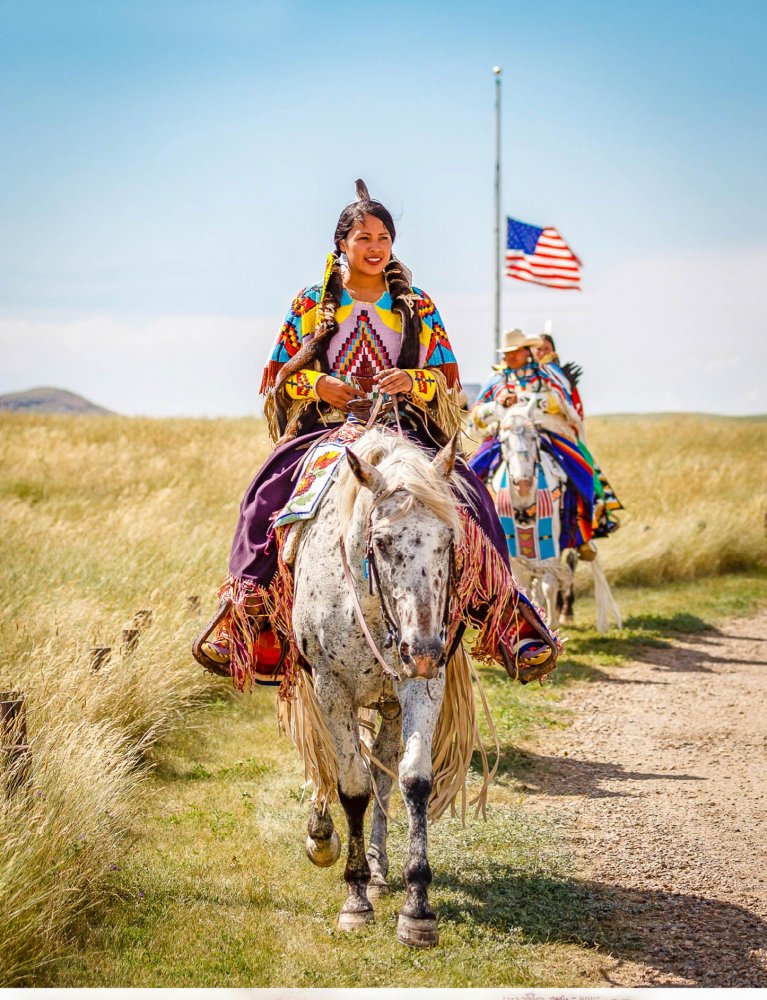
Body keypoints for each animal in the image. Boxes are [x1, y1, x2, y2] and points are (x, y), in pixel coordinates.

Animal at [284, 426, 472, 948]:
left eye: (448, 539)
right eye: (383, 542)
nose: (423, 649)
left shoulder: (422, 687)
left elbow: (413, 781)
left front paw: (417, 906)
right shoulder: (330, 687)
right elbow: (351, 786)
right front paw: (355, 899)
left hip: (390, 702)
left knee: (384, 774)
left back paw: (378, 865)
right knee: (335, 766)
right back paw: (323, 837)